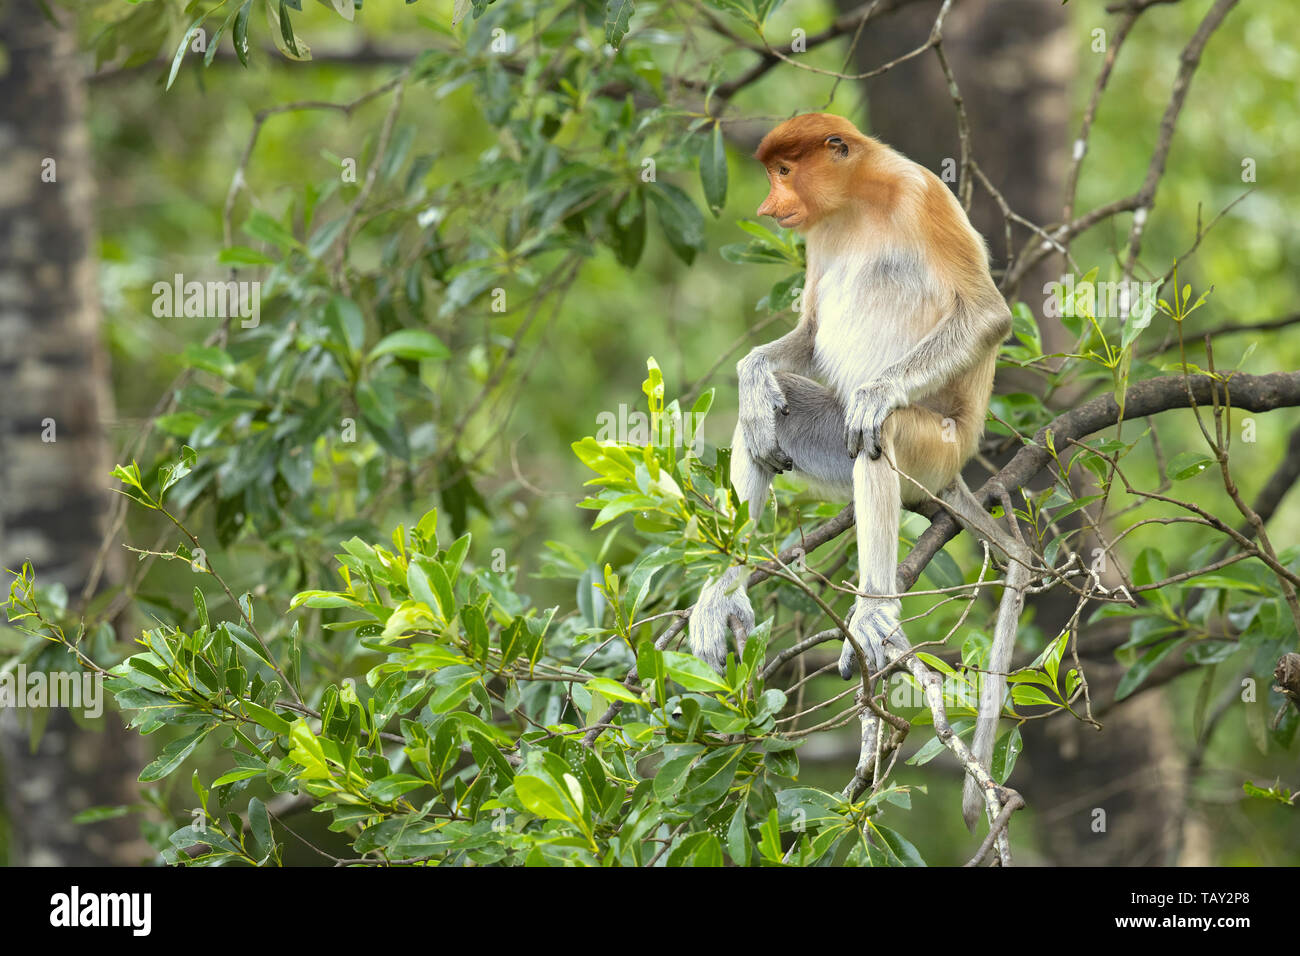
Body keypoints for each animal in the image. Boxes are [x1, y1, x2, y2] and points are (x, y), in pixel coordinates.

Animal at [688, 113, 1016, 830]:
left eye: (784, 171)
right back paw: (724, 593)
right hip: (830, 438)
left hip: (933, 449)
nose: (769, 206)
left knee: (879, 436)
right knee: (767, 422)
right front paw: (752, 373)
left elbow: (986, 314)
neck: (860, 201)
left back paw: (872, 612)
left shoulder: (924, 195)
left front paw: (875, 392)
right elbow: (810, 332)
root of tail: (956, 469)